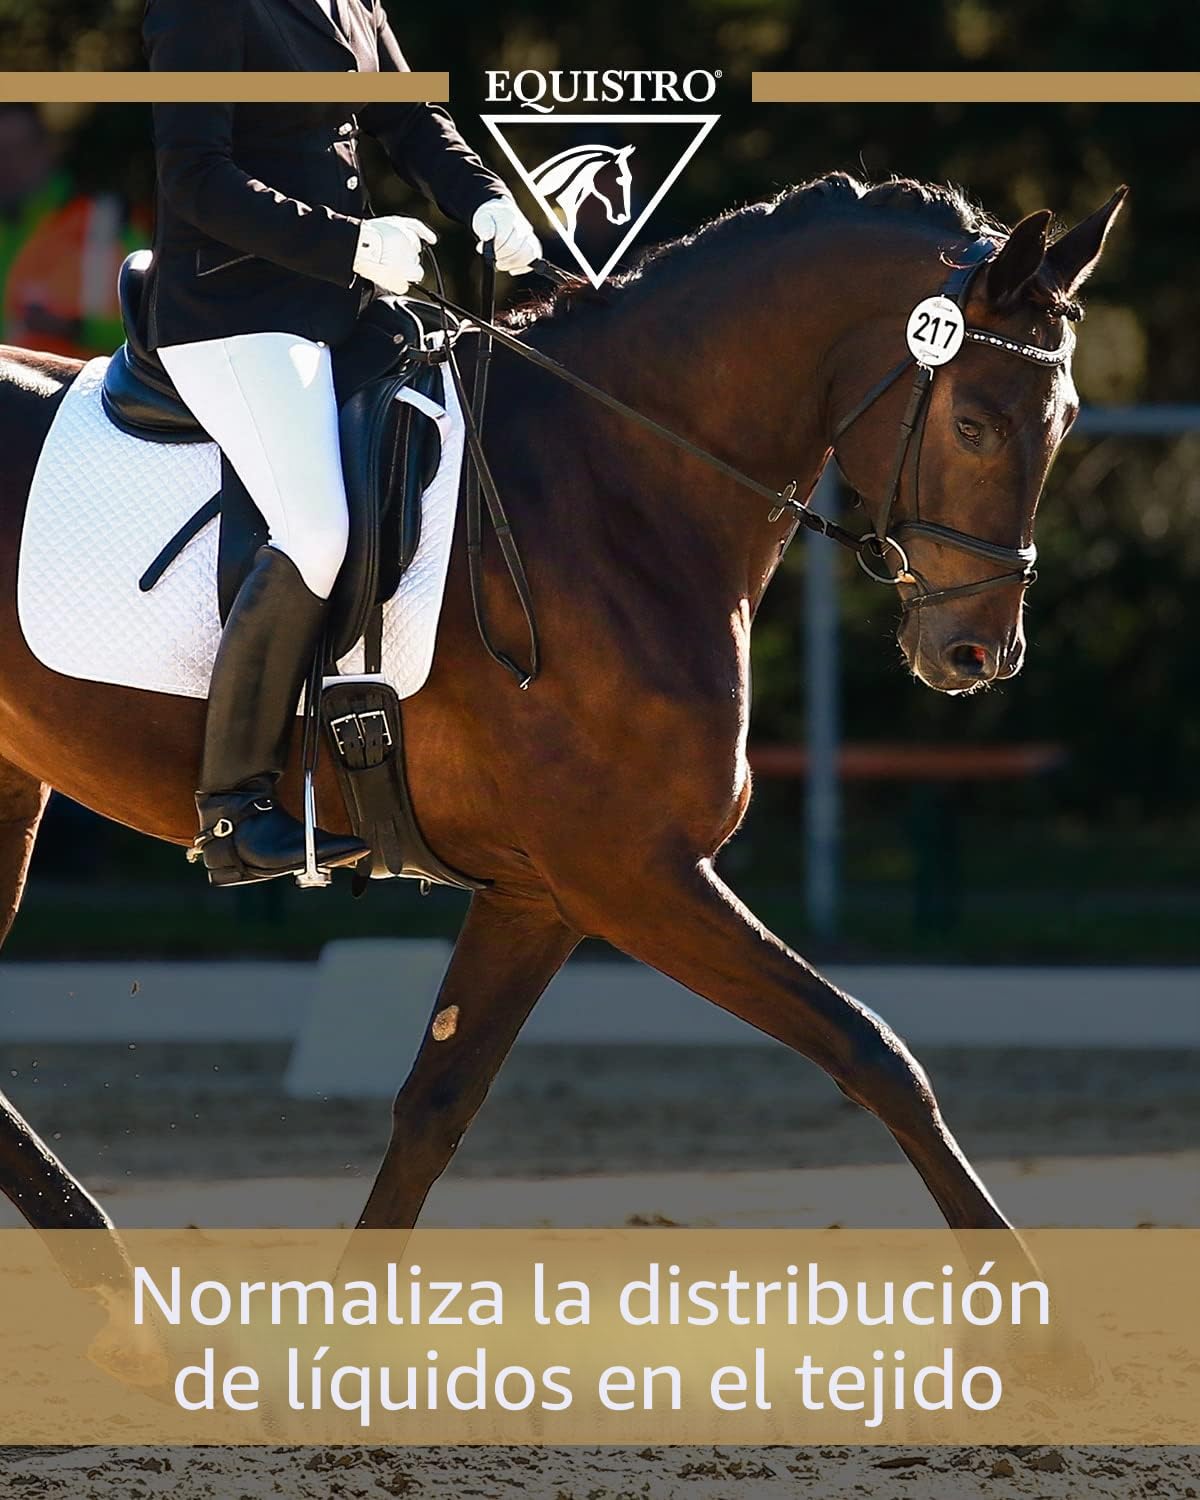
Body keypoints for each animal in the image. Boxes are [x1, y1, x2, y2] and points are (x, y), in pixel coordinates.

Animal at [0, 172, 1124, 1313]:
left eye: (1068, 417)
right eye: (975, 424)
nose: (978, 652)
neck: (617, 490)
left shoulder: (540, 894)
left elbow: (434, 1107)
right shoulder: (631, 873)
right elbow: (875, 1051)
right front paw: (1031, 1327)